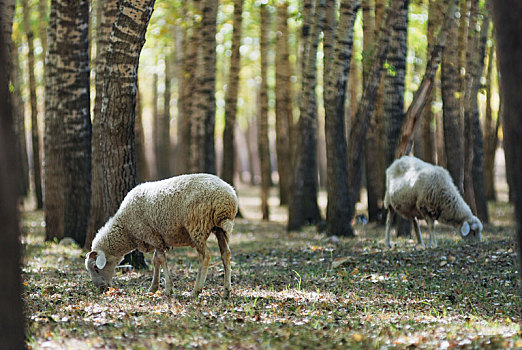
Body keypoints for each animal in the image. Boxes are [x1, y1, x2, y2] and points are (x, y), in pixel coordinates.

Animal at [85, 174, 238, 296]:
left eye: (96, 268)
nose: (101, 288)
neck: (126, 229)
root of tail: (227, 198)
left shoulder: (152, 235)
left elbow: (161, 259)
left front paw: (168, 289)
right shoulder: (156, 238)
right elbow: (155, 260)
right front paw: (153, 287)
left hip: (197, 226)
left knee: (205, 256)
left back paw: (196, 291)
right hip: (219, 229)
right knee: (226, 254)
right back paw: (226, 291)